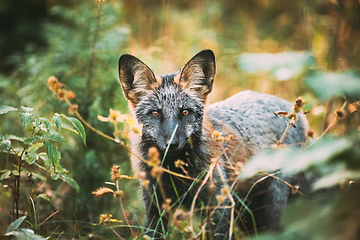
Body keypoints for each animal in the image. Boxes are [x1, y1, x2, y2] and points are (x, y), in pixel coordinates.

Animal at [118, 49, 310, 239]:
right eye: (155, 113)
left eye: (185, 112)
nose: (171, 144)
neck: (176, 172)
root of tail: (293, 112)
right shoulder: (154, 205)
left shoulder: (219, 204)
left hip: (271, 208)